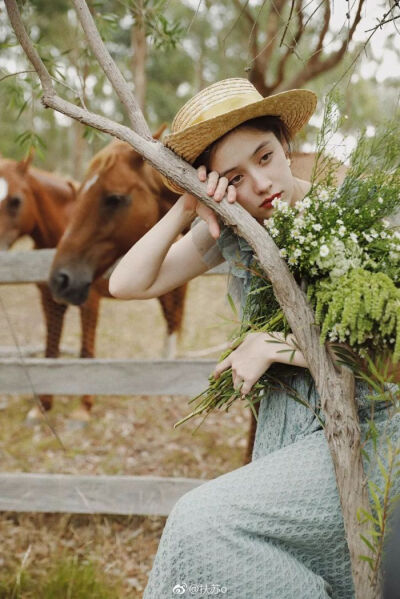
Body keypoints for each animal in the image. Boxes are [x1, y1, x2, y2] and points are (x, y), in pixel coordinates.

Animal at [0, 152, 99, 420]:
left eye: (16, 200)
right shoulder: (49, 300)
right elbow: (50, 350)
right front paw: (42, 406)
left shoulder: (90, 302)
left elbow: (86, 352)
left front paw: (84, 409)